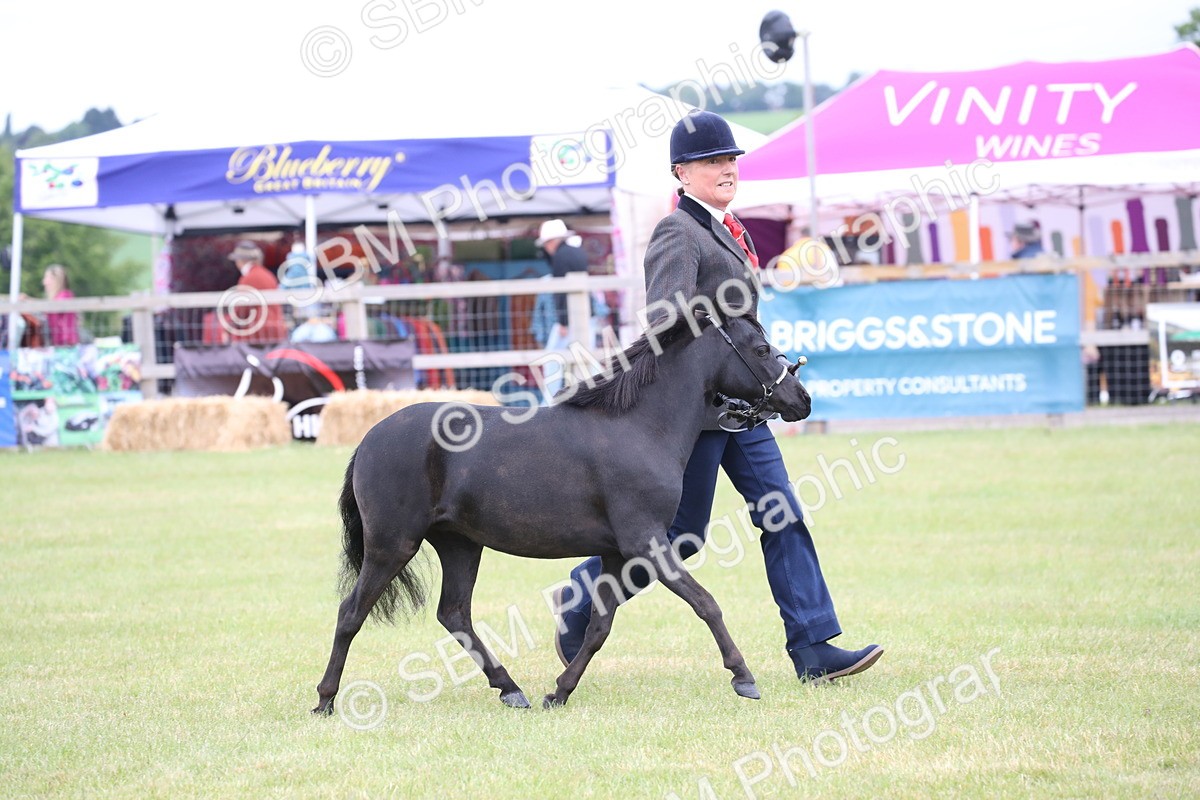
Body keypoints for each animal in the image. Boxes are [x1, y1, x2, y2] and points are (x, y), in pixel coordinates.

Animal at [312, 310, 811, 713]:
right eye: (761, 349)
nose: (801, 400)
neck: (639, 426)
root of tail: (369, 438)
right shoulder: (646, 542)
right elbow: (706, 603)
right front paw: (743, 677)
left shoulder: (617, 553)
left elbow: (599, 626)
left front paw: (560, 691)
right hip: (392, 545)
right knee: (350, 613)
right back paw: (325, 699)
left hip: (460, 545)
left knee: (454, 614)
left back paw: (511, 689)